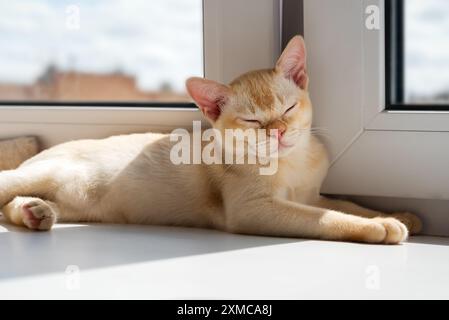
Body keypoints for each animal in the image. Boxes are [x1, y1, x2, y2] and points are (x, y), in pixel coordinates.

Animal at [0, 36, 420, 244]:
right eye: (253, 120)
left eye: (287, 109)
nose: (279, 132)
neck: (293, 163)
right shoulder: (254, 210)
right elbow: (328, 218)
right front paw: (382, 226)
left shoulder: (310, 195)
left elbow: (346, 203)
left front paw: (400, 215)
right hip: (40, 173)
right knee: (6, 188)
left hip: (76, 204)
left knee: (11, 206)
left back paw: (36, 213)